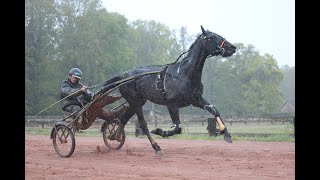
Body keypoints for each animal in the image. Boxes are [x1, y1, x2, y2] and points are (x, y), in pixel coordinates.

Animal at [102, 25, 235, 156]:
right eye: (212, 37)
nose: (232, 47)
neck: (184, 74)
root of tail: (124, 76)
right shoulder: (172, 104)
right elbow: (177, 128)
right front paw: (158, 130)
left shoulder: (196, 100)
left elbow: (214, 110)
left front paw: (226, 134)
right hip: (134, 101)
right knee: (142, 124)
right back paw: (156, 147)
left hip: (137, 101)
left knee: (124, 118)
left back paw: (114, 137)